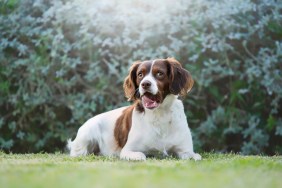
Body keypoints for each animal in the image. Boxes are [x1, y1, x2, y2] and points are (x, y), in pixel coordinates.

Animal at [67, 57, 202, 160]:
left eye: (160, 73)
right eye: (140, 74)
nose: (145, 84)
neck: (159, 114)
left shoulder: (186, 151)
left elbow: (195, 156)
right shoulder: (128, 150)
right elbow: (142, 155)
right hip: (88, 132)